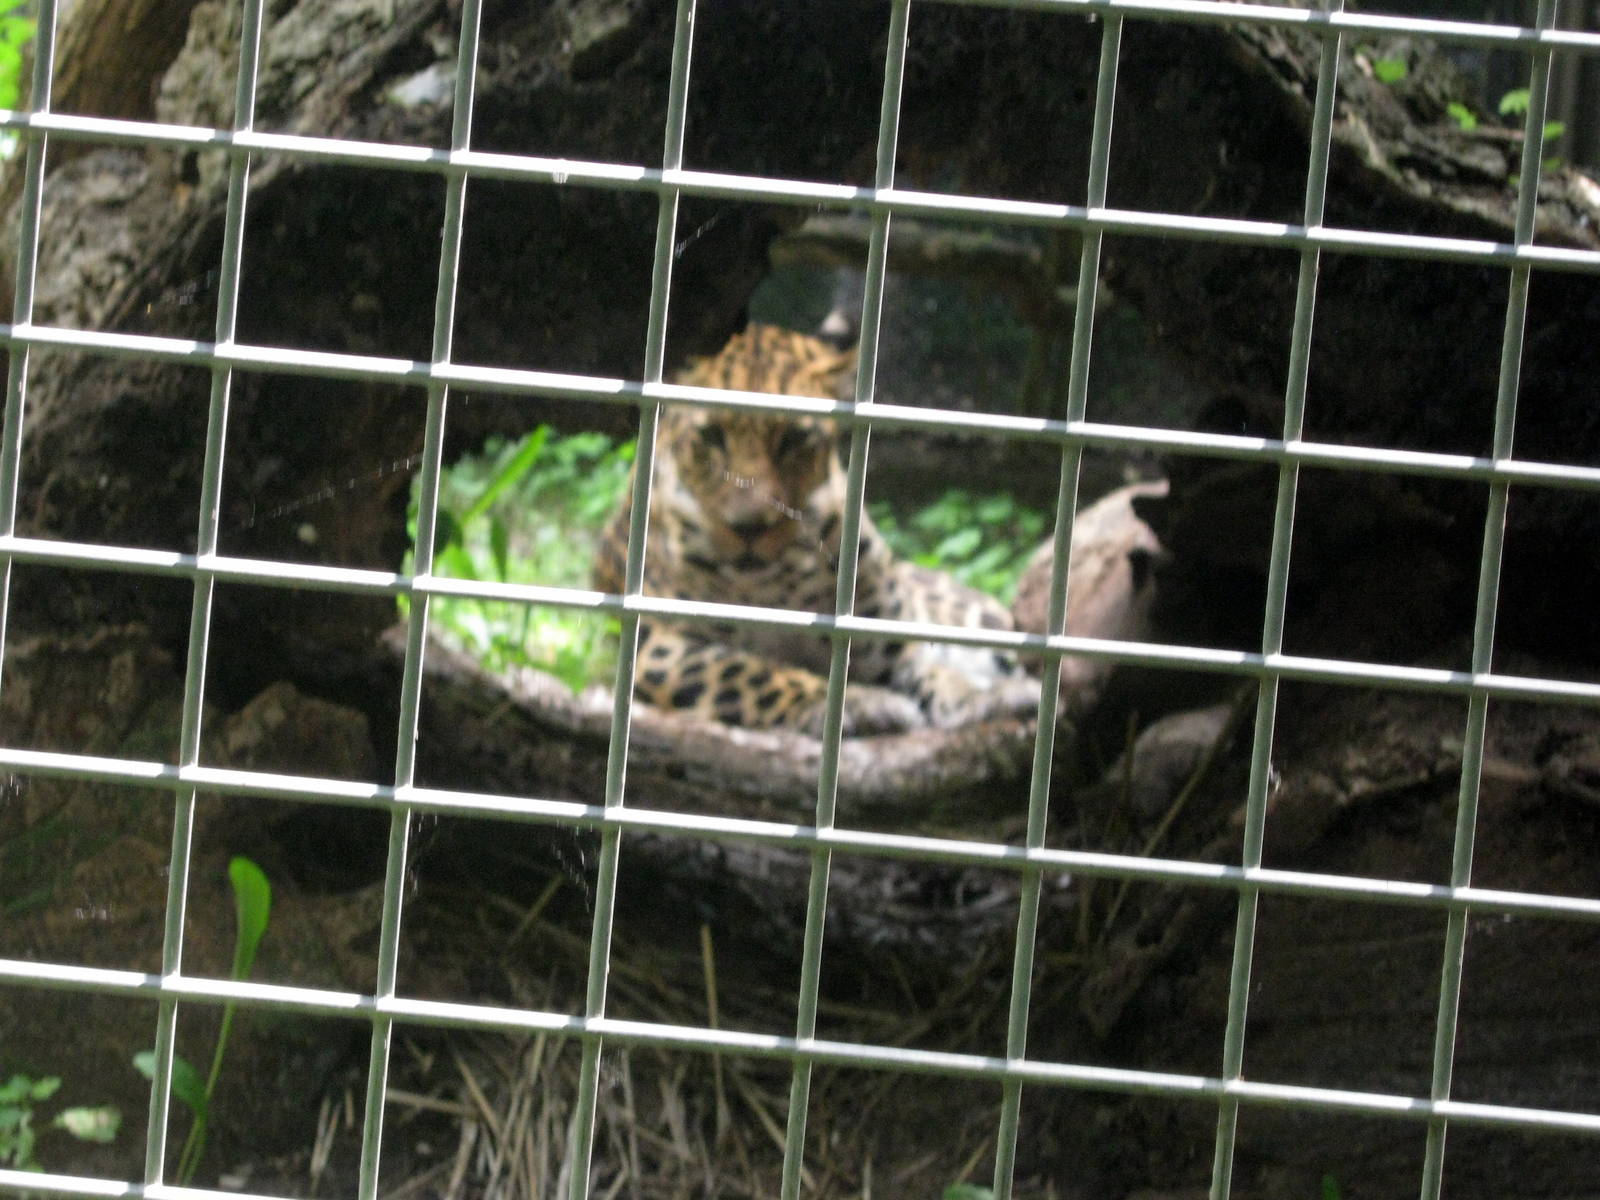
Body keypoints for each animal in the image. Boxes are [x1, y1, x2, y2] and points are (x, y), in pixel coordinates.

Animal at [593, 323, 1038, 737]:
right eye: (711, 436)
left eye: (793, 439)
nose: (748, 528)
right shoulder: (662, 646)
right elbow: (752, 672)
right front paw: (855, 702)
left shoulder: (886, 645)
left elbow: (930, 668)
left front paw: (979, 695)